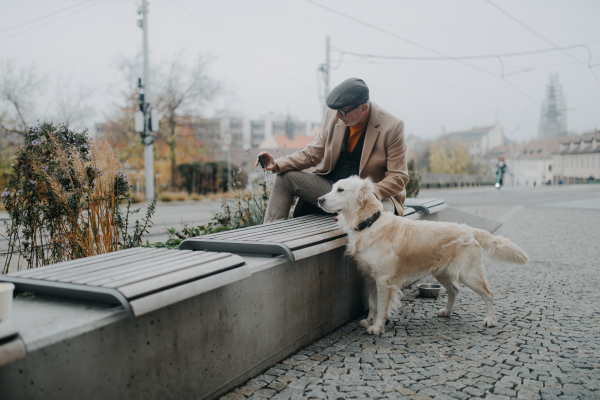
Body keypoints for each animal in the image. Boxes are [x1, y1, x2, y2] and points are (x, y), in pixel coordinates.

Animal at [316, 177, 528, 336]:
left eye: (340, 190)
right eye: (333, 188)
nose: (319, 199)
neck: (369, 223)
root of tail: (468, 228)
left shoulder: (384, 280)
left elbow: (382, 305)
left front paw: (377, 327)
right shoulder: (370, 277)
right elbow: (372, 303)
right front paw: (369, 320)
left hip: (470, 274)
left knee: (488, 294)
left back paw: (490, 319)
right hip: (441, 273)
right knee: (454, 290)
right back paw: (447, 312)